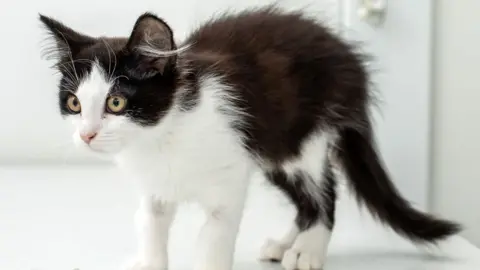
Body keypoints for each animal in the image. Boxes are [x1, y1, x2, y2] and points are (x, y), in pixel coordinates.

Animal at [40, 5, 462, 270]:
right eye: (75, 103)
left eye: (116, 102)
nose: (87, 135)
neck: (161, 135)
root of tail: (352, 61)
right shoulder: (155, 188)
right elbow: (151, 224)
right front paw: (149, 263)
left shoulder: (230, 173)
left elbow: (214, 237)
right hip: (274, 148)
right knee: (305, 199)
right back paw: (286, 242)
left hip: (303, 135)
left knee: (323, 193)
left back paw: (308, 249)